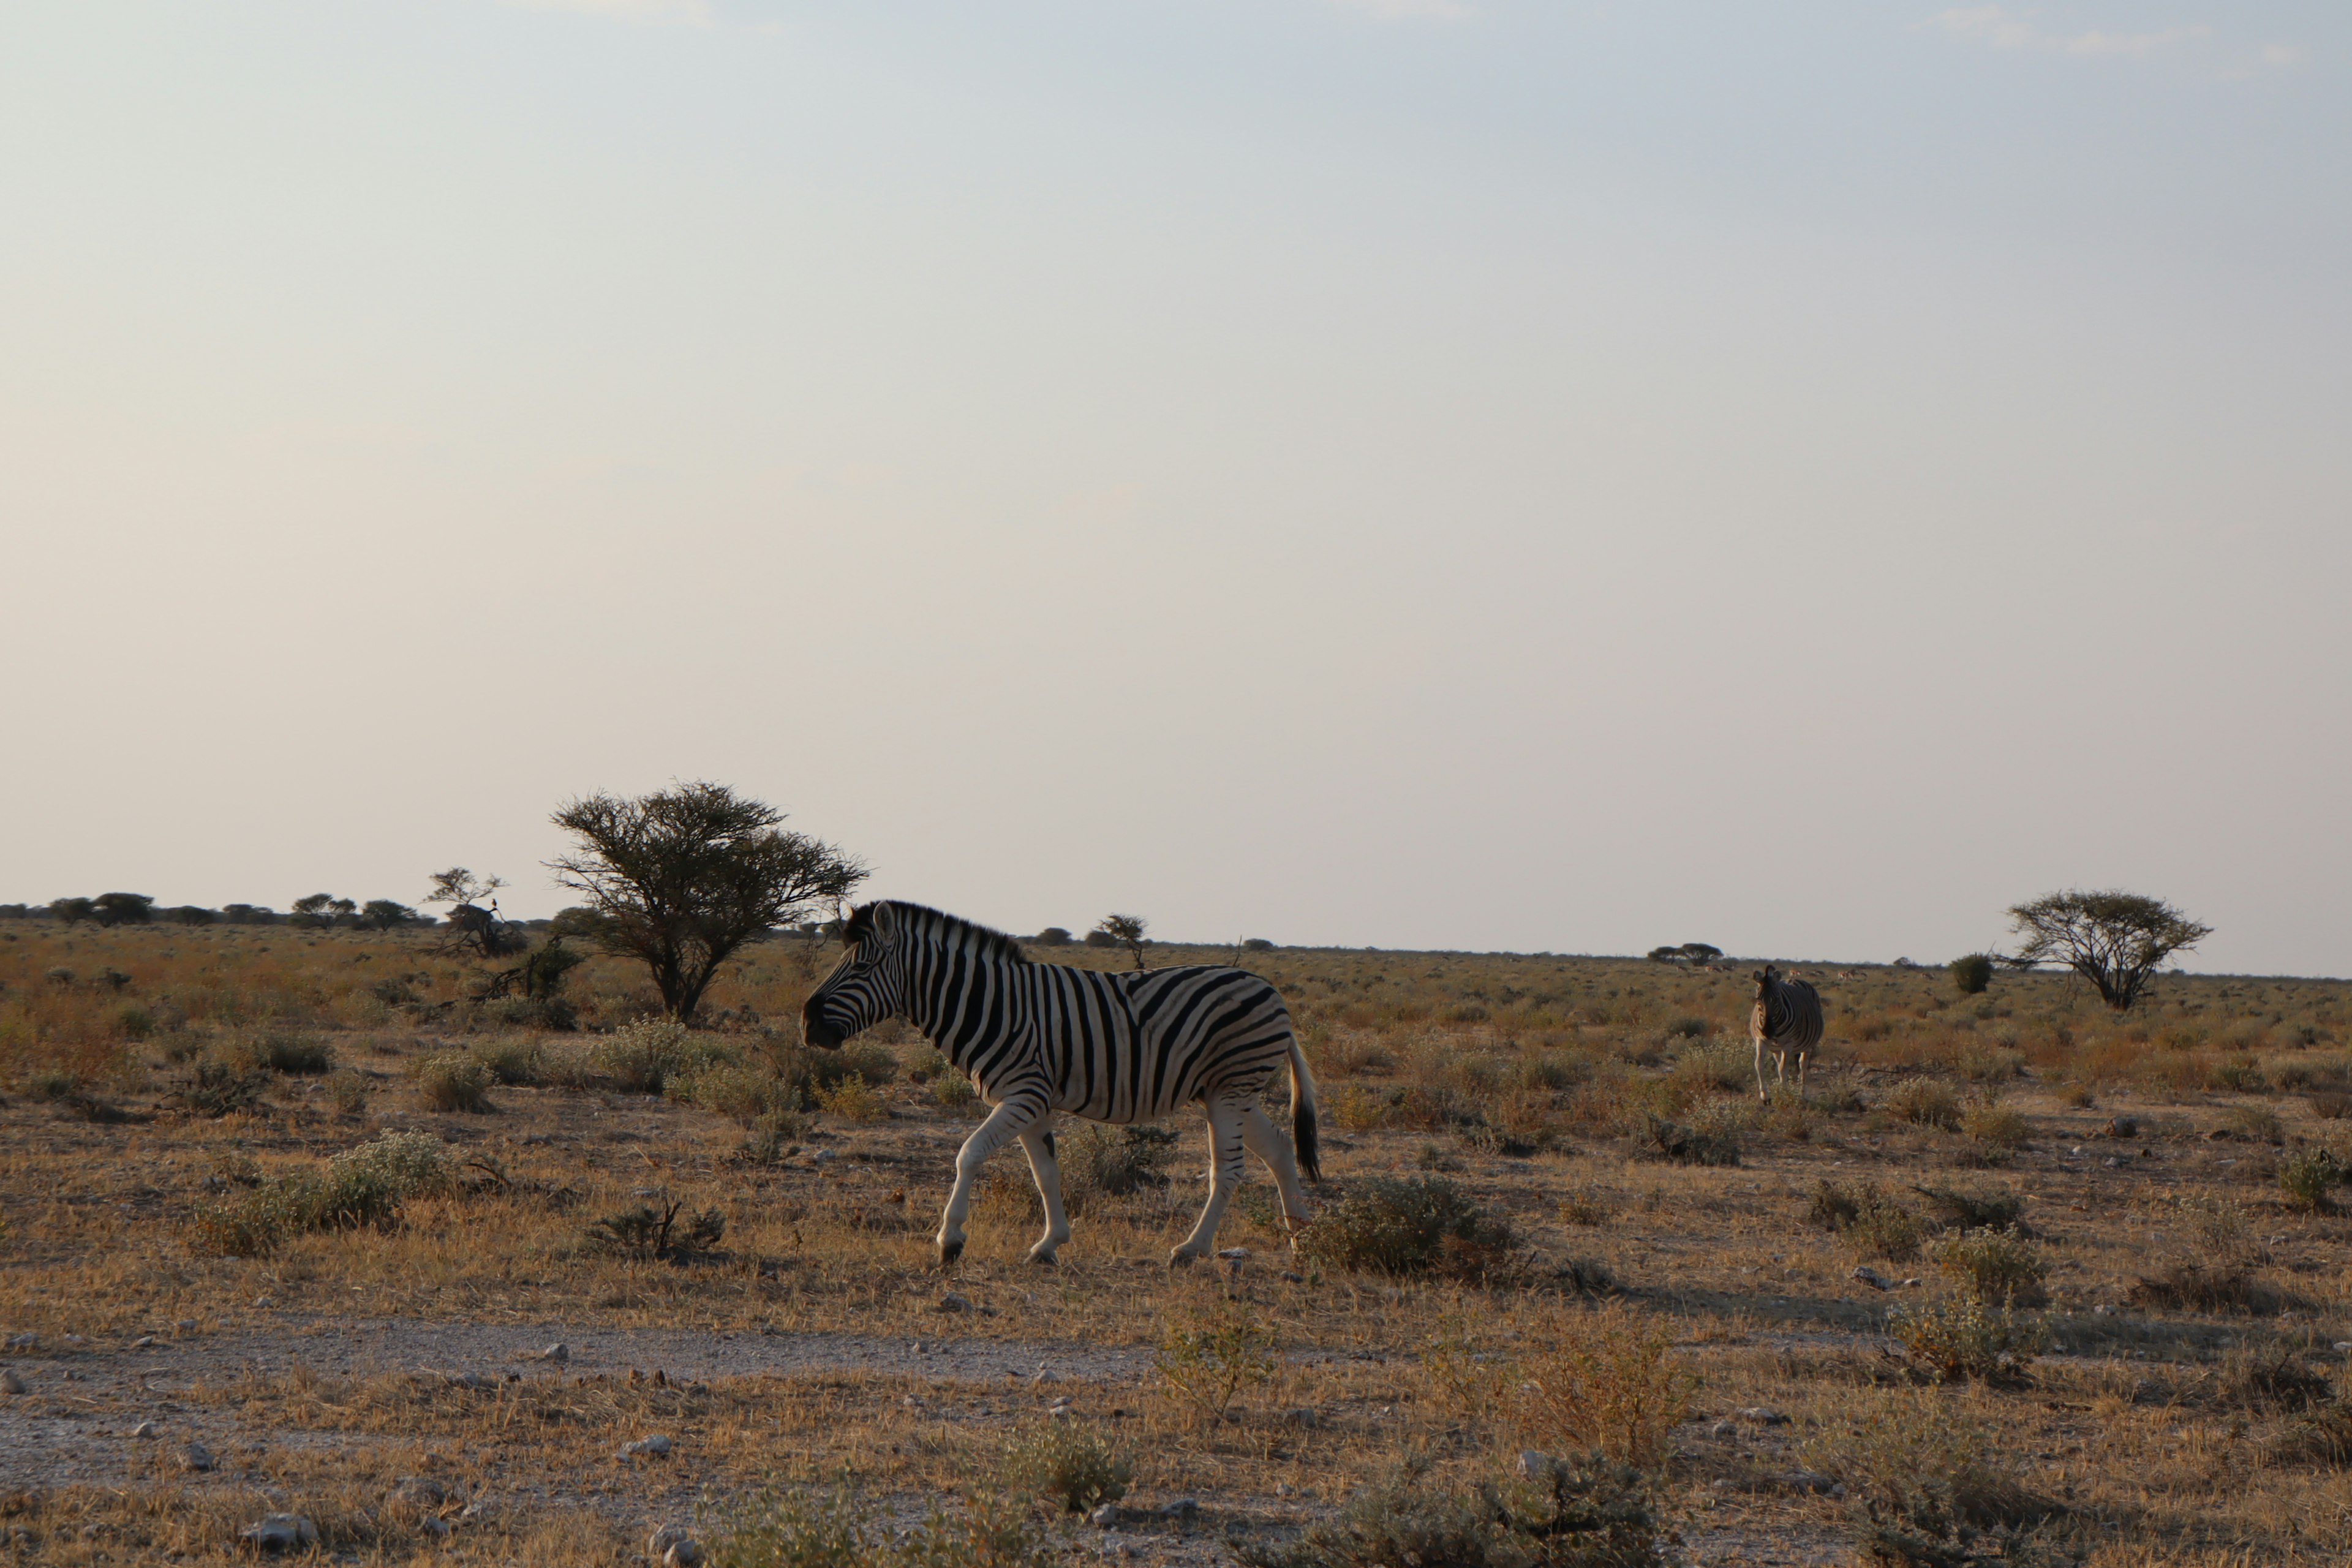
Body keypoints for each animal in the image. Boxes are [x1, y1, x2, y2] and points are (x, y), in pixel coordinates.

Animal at [804, 902, 1326, 1269]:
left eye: (861, 968)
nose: (808, 1025)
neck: (989, 1004)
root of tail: (1270, 989)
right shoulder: (1031, 1101)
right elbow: (1046, 1174)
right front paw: (1049, 1244)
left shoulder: (1023, 1093)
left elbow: (968, 1154)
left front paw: (949, 1241)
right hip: (1230, 1093)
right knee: (1279, 1149)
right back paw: (1301, 1241)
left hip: (1230, 1089)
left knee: (1229, 1169)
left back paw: (1191, 1249)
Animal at [1749, 968, 1815, 1104]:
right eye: (1758, 999)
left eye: (1777, 999)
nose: (1768, 1032)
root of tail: (1793, 980)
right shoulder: (1761, 1040)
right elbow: (1759, 1065)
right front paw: (1765, 1096)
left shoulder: (1788, 1043)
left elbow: (1783, 1069)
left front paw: (1784, 1093)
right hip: (1776, 1048)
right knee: (1781, 1061)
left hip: (1808, 1045)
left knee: (1803, 1065)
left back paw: (1803, 1094)